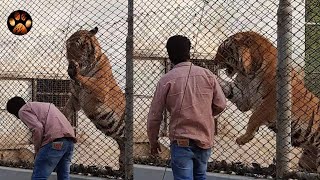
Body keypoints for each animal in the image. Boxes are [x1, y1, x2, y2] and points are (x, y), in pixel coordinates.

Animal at [62, 27, 126, 172]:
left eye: (80, 45)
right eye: (68, 46)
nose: (71, 59)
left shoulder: (99, 89)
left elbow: (87, 81)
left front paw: (75, 72)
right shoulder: (75, 99)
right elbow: (66, 110)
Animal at [212, 31, 320, 173]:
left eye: (223, 50)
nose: (214, 62)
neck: (248, 72)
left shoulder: (270, 104)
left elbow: (254, 117)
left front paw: (243, 139)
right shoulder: (242, 96)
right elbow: (224, 85)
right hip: (306, 162)